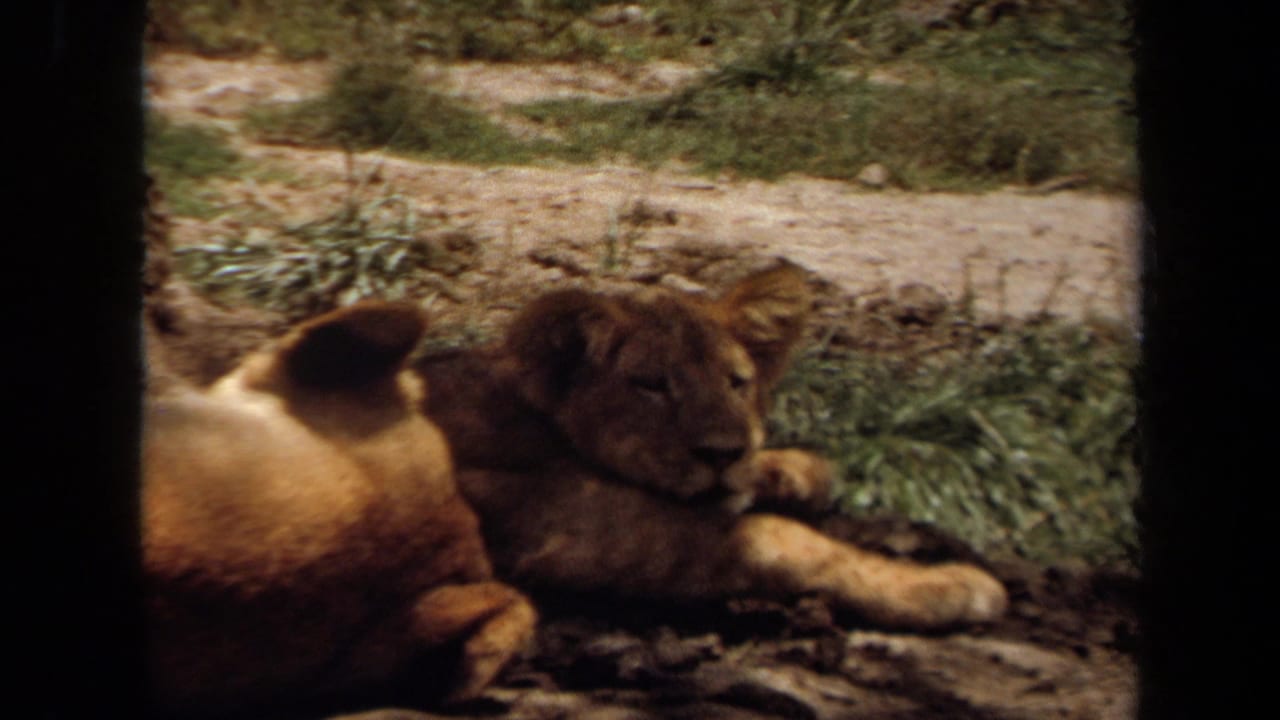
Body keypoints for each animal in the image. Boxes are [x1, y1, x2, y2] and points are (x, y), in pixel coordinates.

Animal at [416, 263, 1008, 629]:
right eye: (652, 385)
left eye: (736, 382)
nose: (722, 454)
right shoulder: (561, 528)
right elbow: (779, 540)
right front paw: (952, 588)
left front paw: (798, 471)